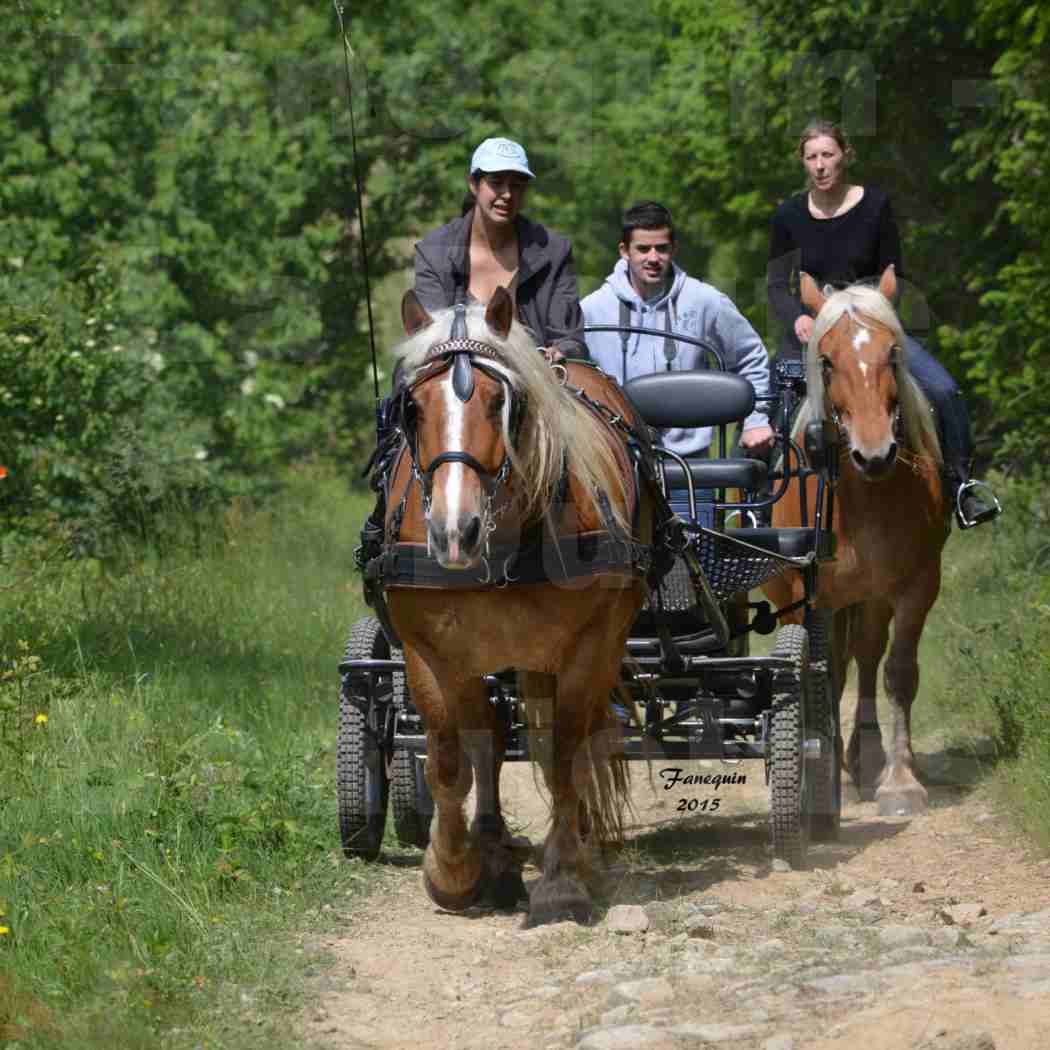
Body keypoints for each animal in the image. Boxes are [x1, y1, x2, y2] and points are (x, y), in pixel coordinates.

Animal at [377, 287, 655, 928]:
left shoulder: (587, 645)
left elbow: (565, 752)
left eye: (502, 402)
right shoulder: (430, 650)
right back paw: (496, 853)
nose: (455, 532)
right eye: (413, 409)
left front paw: (563, 879)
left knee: (568, 740)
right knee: (492, 738)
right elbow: (454, 755)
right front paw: (455, 869)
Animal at [768, 266, 949, 814]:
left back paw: (866, 756)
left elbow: (898, 673)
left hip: (871, 595)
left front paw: (901, 781)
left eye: (892, 353)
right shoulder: (801, 594)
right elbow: (813, 673)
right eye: (827, 362)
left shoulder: (916, 584)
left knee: (866, 657)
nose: (875, 454)